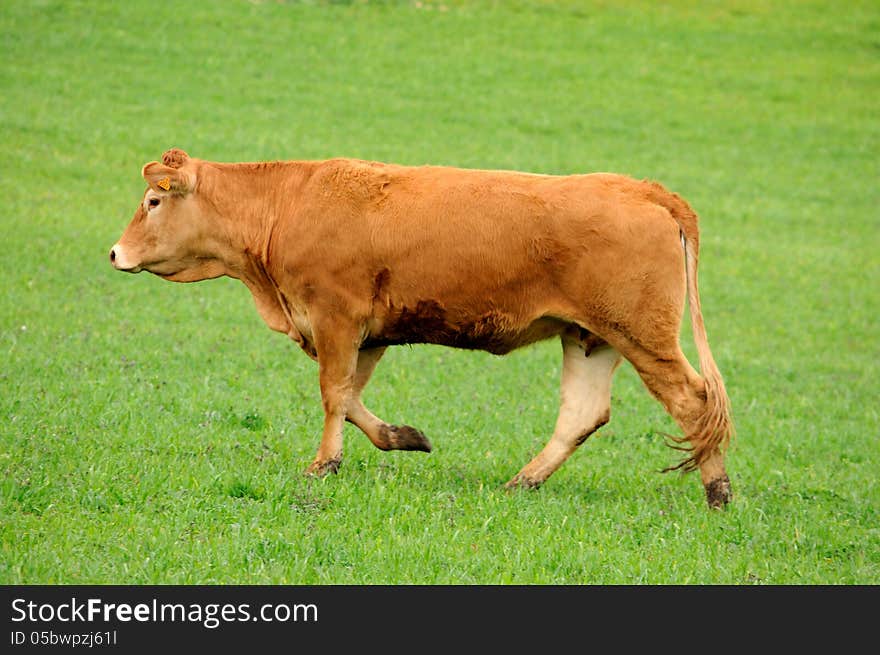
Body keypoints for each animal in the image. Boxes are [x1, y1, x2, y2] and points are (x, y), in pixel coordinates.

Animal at [110, 149, 736, 508]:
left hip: (643, 337)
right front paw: (403, 437)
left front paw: (323, 465)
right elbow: (352, 398)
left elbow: (333, 394)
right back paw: (522, 483)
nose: (115, 253)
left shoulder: (338, 318)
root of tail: (642, 188)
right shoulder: (370, 334)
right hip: (591, 337)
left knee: (694, 402)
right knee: (583, 413)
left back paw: (717, 492)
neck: (289, 204)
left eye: (153, 201)